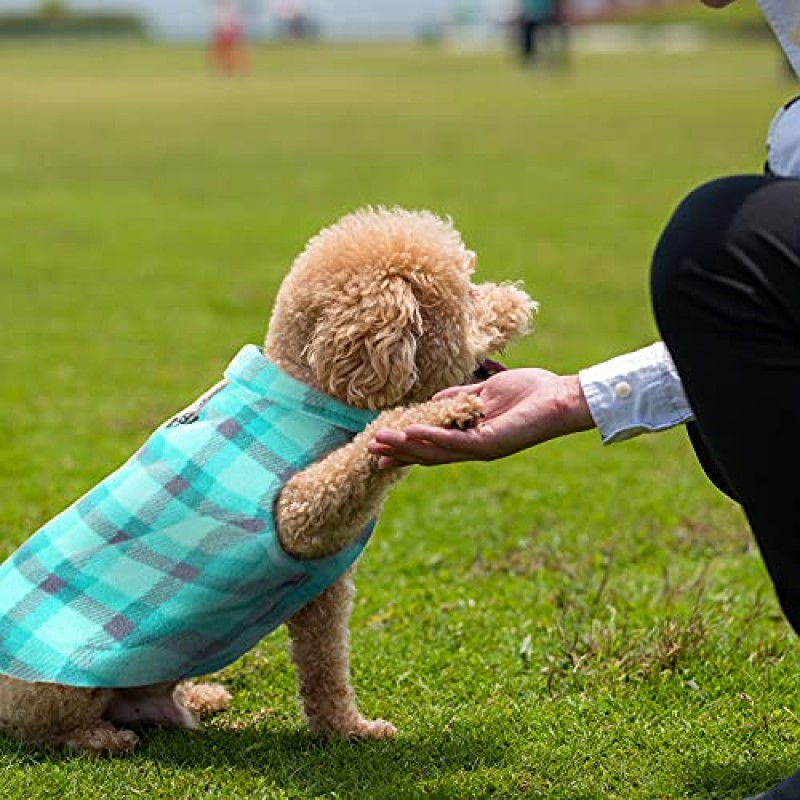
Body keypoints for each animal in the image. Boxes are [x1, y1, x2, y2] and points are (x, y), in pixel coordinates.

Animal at [0, 208, 536, 756]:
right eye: (466, 296)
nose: (520, 302)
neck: (310, 388)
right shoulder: (299, 516)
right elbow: (351, 463)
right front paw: (439, 413)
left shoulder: (323, 589)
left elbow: (325, 668)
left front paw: (349, 730)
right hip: (52, 687)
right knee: (36, 728)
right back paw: (98, 737)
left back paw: (199, 697)